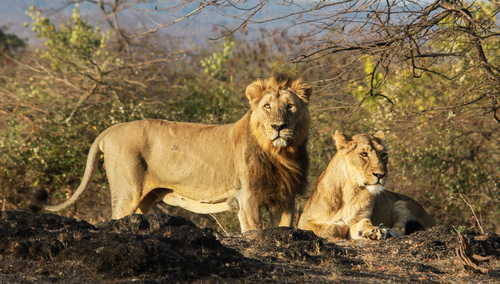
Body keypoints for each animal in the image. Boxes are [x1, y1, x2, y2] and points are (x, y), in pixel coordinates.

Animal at [31, 74, 310, 233]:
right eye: (267, 106)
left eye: (290, 106)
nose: (278, 126)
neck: (279, 153)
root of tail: (111, 129)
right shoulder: (246, 198)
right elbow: (253, 232)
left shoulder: (286, 199)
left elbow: (283, 227)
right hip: (127, 193)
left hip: (143, 202)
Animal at [296, 131, 434, 240]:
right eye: (363, 154)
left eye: (384, 154)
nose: (380, 175)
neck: (350, 191)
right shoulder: (304, 220)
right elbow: (329, 228)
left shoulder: (362, 217)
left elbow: (363, 223)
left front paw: (374, 231)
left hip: (401, 203)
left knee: (400, 230)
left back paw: (387, 231)